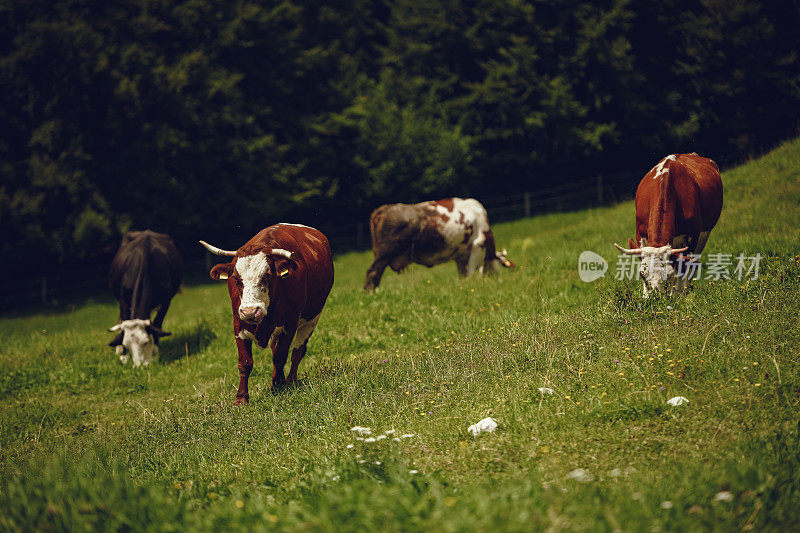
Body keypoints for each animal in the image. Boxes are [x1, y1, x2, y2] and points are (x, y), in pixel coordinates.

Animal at [108, 229, 183, 366]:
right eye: (127, 344)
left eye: (146, 342)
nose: (140, 366)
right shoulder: (123, 300)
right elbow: (124, 321)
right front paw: (124, 355)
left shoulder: (166, 300)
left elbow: (157, 324)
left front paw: (155, 352)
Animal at [203, 223, 338, 404]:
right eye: (237, 279)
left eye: (267, 276)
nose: (250, 311)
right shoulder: (239, 324)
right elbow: (245, 363)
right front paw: (241, 398)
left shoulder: (290, 323)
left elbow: (280, 356)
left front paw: (278, 387)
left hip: (312, 319)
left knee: (297, 351)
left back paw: (290, 380)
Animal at [362, 197, 512, 294]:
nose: (497, 279)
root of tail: (384, 208)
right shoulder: (478, 247)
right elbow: (471, 273)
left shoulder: (461, 257)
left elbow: (463, 276)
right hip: (384, 255)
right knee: (372, 273)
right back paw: (371, 294)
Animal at [612, 152, 724, 298]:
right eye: (642, 274)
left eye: (668, 275)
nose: (654, 299)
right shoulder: (640, 235)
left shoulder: (693, 236)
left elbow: (683, 267)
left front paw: (679, 295)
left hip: (703, 236)